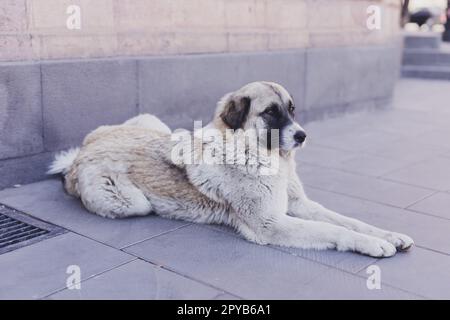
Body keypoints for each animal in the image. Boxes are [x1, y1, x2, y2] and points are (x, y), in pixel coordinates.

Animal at [50, 82, 414, 258]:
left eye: (292, 109)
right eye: (271, 112)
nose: (302, 135)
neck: (263, 157)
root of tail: (80, 154)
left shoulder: (300, 205)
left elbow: (347, 220)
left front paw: (388, 235)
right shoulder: (271, 224)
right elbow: (332, 230)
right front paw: (371, 244)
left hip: (156, 123)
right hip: (131, 203)